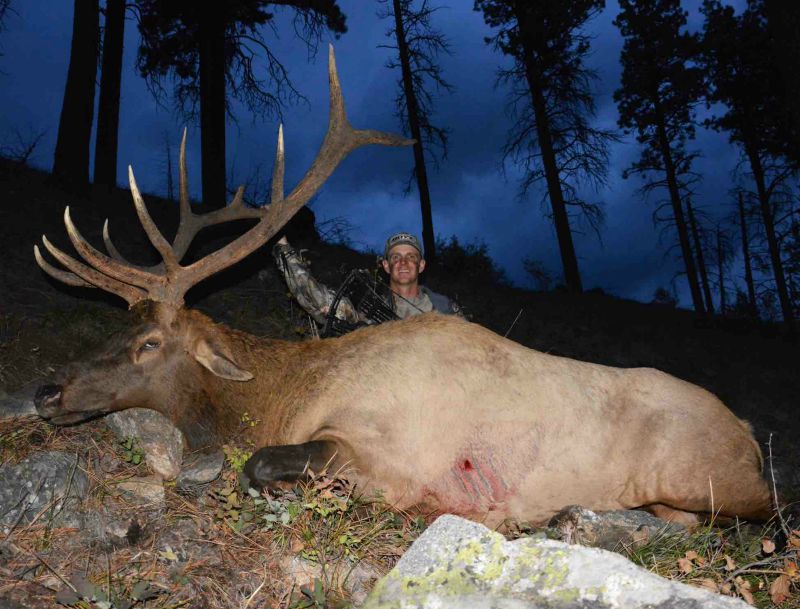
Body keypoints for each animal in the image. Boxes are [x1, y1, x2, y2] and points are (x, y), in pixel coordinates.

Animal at [32, 47, 772, 529]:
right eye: (120, 326)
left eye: (149, 343)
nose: (47, 390)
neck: (285, 393)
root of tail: (750, 435)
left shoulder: (385, 452)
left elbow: (262, 466)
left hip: (707, 478)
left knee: (740, 516)